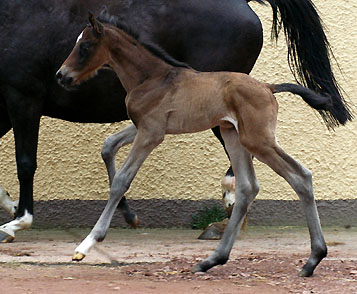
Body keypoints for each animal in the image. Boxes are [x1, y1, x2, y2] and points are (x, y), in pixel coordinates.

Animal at [0, 0, 350, 242]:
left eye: (84, 46)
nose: (61, 76)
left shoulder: (22, 98)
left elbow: (26, 161)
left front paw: (18, 221)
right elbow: (109, 150)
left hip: (230, 121)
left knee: (250, 166)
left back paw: (225, 219)